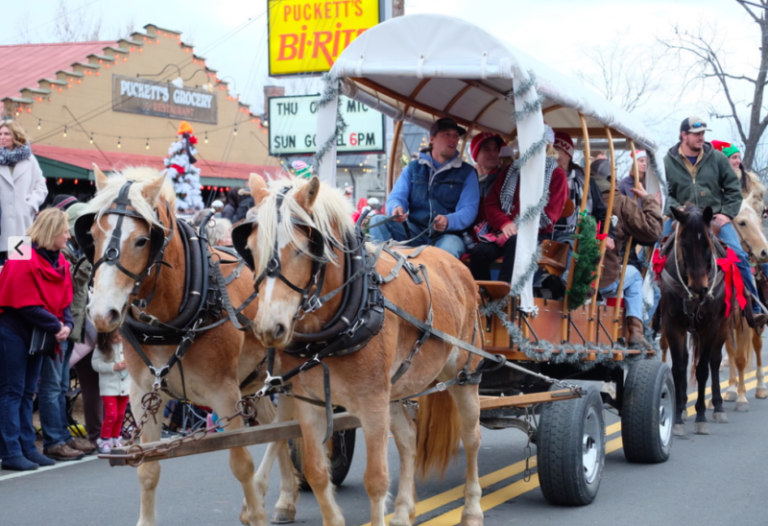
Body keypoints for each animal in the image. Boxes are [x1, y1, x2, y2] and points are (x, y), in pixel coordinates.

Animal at [82, 168, 298, 526]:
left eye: (142, 240)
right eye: (93, 235)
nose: (102, 313)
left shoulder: (225, 394)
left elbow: (241, 463)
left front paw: (255, 513)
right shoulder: (143, 395)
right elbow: (147, 470)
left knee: (291, 426)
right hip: (256, 383)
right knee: (276, 428)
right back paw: (285, 499)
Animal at [240, 176, 484, 526]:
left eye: (302, 248)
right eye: (250, 249)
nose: (269, 328)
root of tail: (457, 267)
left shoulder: (372, 403)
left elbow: (377, 479)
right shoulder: (310, 402)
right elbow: (317, 472)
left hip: (464, 375)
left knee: (472, 437)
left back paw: (472, 509)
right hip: (395, 390)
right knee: (409, 440)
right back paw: (403, 512)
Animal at [656, 206, 728, 438]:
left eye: (707, 243)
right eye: (684, 244)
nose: (699, 288)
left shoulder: (711, 325)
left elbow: (703, 368)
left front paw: (701, 417)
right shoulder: (672, 324)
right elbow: (679, 367)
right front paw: (678, 417)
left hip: (723, 326)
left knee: (714, 360)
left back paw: (718, 406)